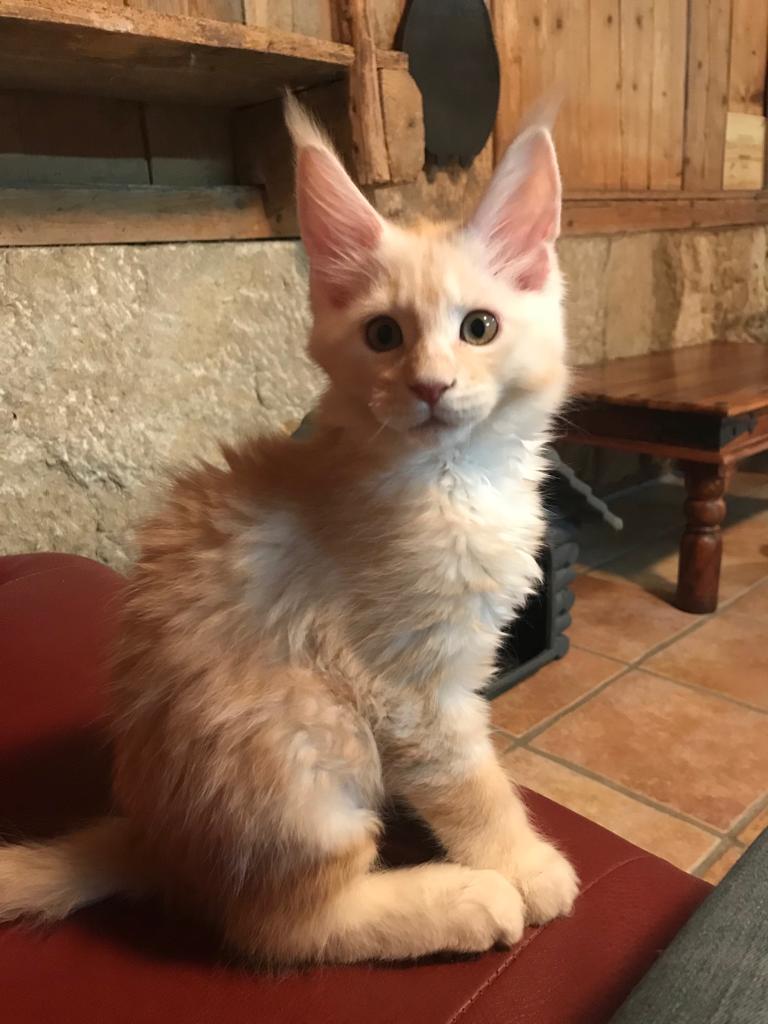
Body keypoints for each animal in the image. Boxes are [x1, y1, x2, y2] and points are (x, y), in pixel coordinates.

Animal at [0, 97, 578, 965]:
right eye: (383, 335)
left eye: (479, 327)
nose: (430, 387)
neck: (452, 478)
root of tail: (155, 837)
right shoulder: (410, 692)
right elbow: (473, 786)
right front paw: (525, 864)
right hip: (305, 738)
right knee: (284, 928)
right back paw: (461, 900)